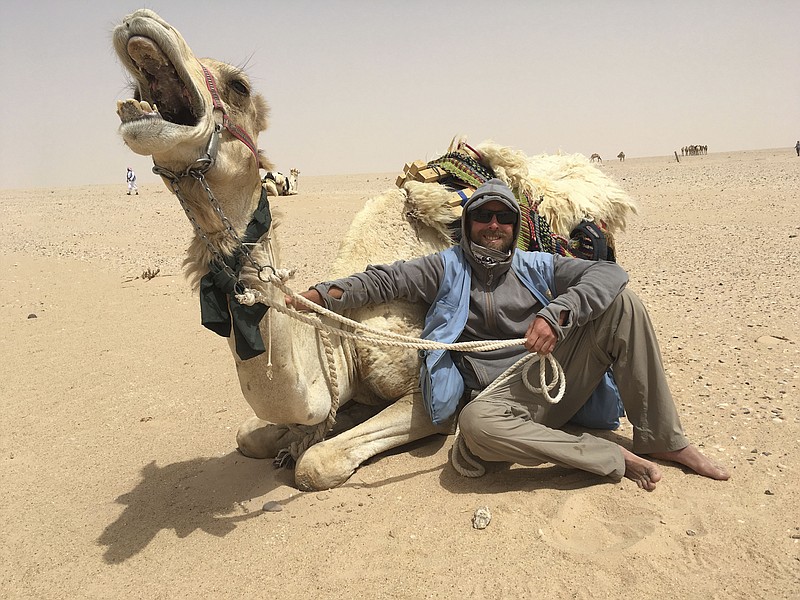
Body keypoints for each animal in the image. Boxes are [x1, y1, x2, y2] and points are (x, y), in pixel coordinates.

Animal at [114, 8, 636, 492]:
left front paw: (304, 448)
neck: (342, 340)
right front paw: (292, 438)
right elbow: (250, 435)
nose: (140, 22)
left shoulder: (427, 393)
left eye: (239, 86)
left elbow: (317, 462)